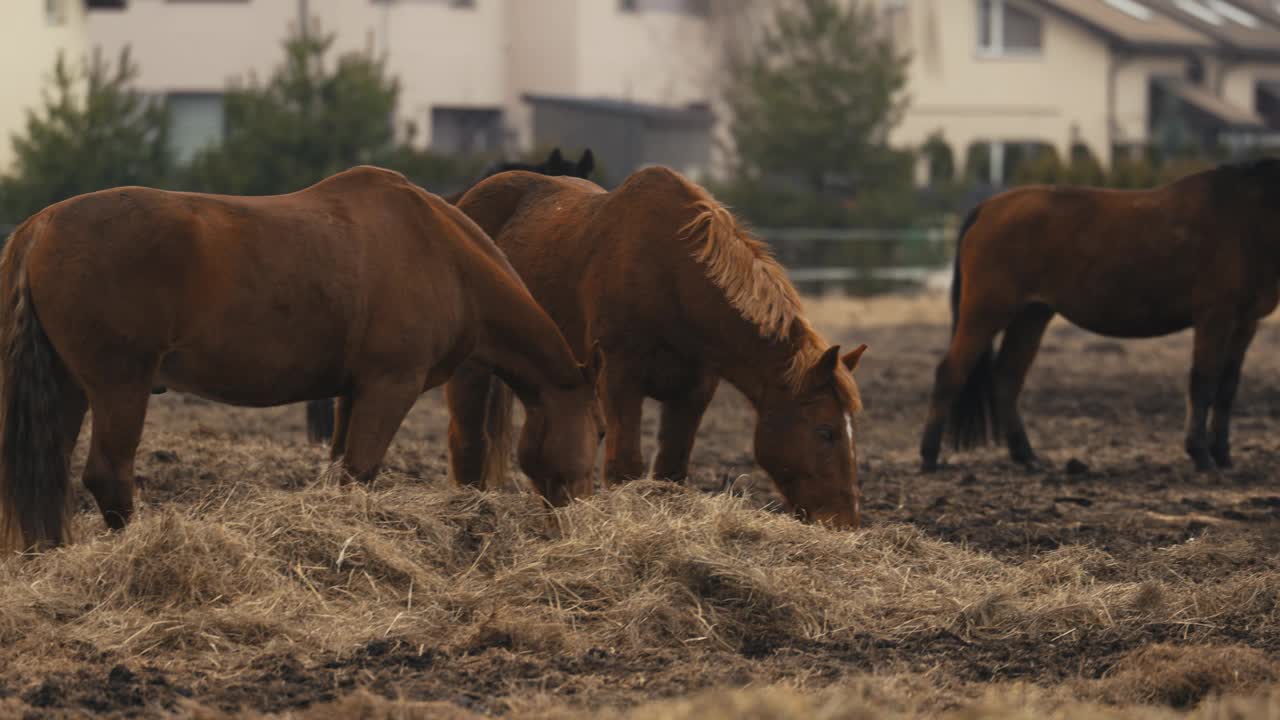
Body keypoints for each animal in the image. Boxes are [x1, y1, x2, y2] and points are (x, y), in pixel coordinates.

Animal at [450, 166, 870, 527]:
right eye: (825, 431)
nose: (844, 522)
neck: (671, 274)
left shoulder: (693, 393)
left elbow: (670, 471)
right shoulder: (619, 381)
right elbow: (624, 468)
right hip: (474, 370)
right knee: (468, 442)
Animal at [921, 156, 1280, 471]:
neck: (1245, 217)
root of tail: (989, 208)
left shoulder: (1245, 323)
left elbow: (1227, 387)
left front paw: (1223, 456)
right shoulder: (1214, 317)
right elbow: (1204, 382)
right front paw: (1201, 455)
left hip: (1031, 316)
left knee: (1007, 378)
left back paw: (1027, 457)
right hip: (985, 312)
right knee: (950, 373)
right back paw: (929, 458)